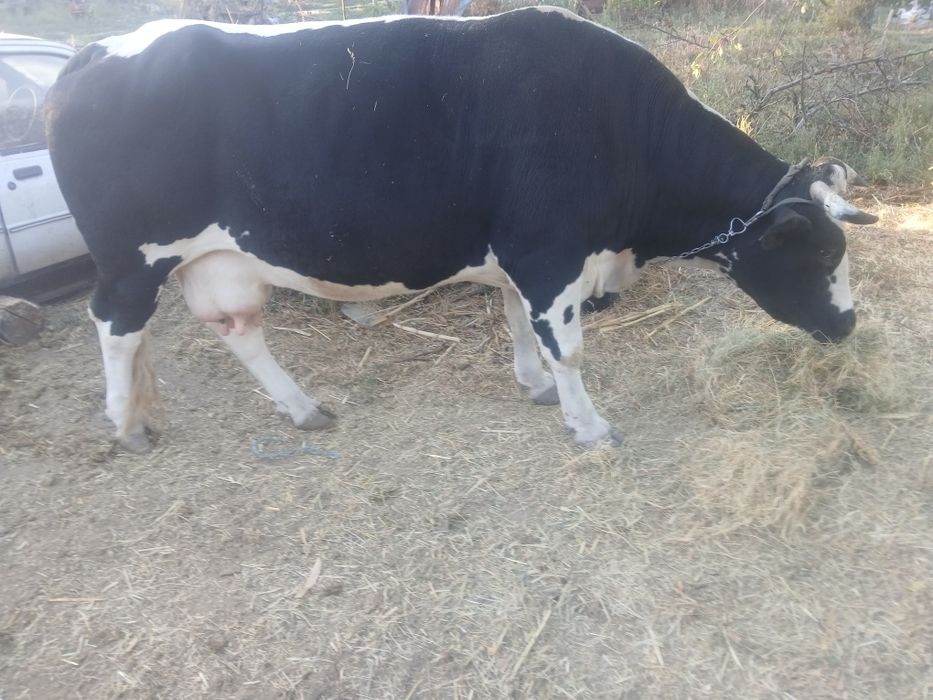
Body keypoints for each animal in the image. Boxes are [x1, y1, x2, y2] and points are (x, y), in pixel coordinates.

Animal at [46, 7, 877, 452]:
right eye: (820, 251)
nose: (846, 326)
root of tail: (99, 50)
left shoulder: (519, 257)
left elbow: (515, 322)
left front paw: (532, 384)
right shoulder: (548, 253)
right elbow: (569, 348)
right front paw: (587, 423)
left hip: (209, 260)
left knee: (235, 332)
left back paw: (299, 406)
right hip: (131, 259)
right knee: (115, 326)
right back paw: (126, 423)